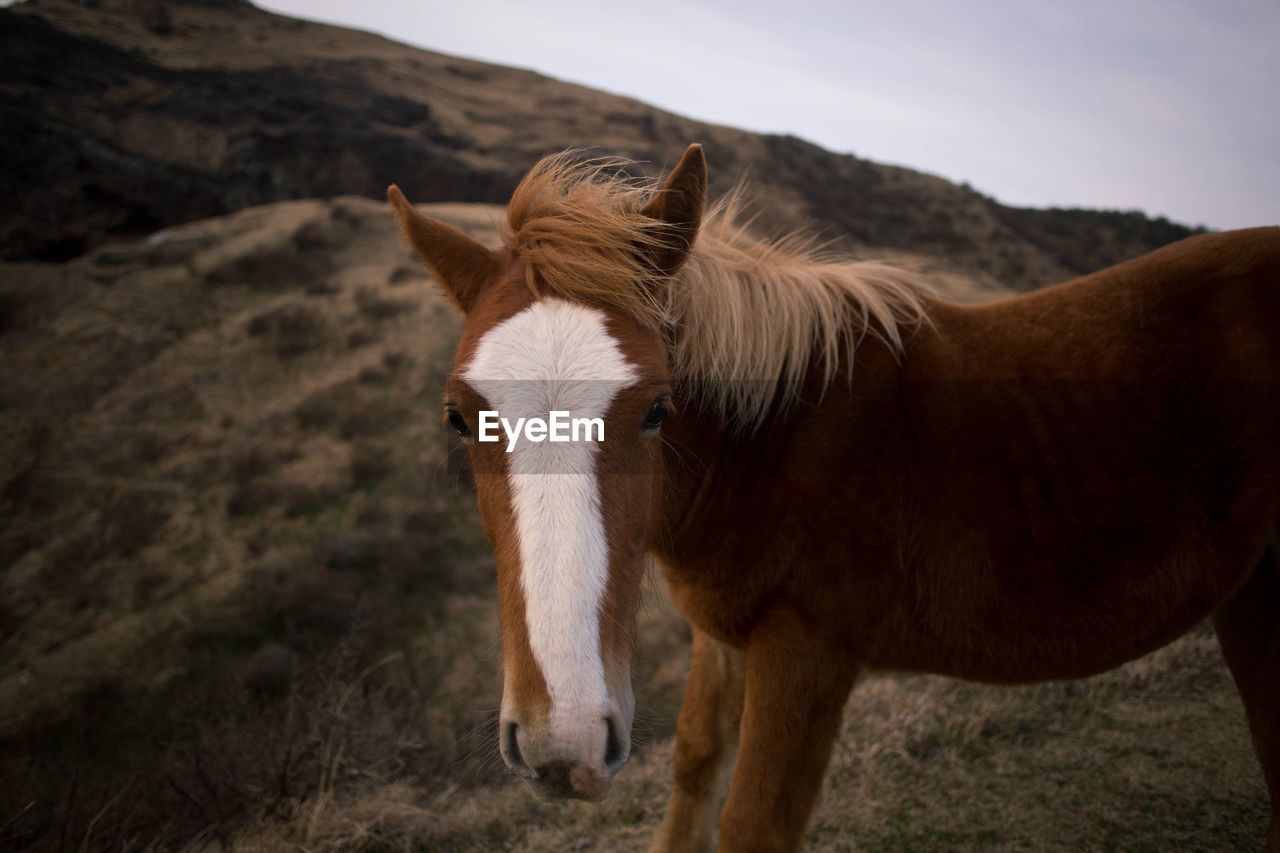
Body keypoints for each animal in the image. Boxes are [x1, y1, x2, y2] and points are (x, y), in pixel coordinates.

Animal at [386, 142, 1280, 845]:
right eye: (459, 417)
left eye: (658, 409)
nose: (562, 739)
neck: (776, 436)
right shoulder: (725, 637)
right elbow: (692, 771)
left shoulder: (808, 652)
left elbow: (755, 821)